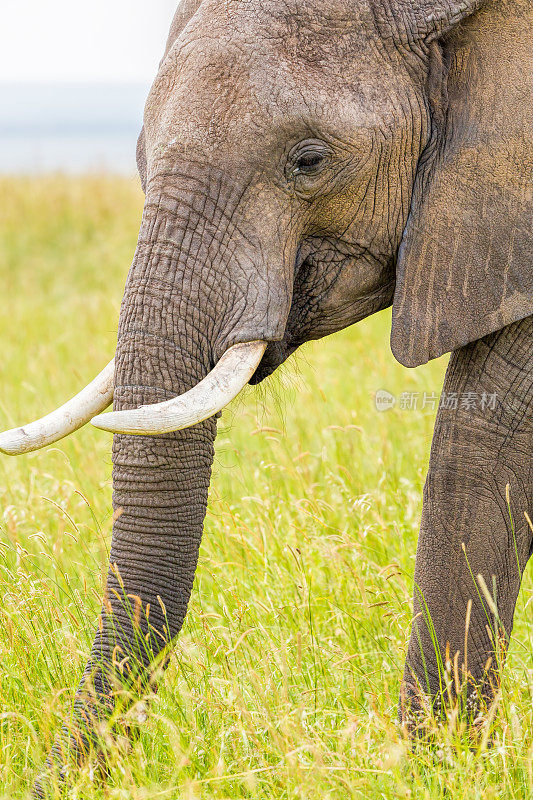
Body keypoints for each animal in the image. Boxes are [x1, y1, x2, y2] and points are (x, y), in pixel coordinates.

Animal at [0, 0, 528, 792]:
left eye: (309, 160)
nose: (41, 782)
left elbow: (480, 452)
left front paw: (425, 772)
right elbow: (483, 461)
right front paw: (430, 770)